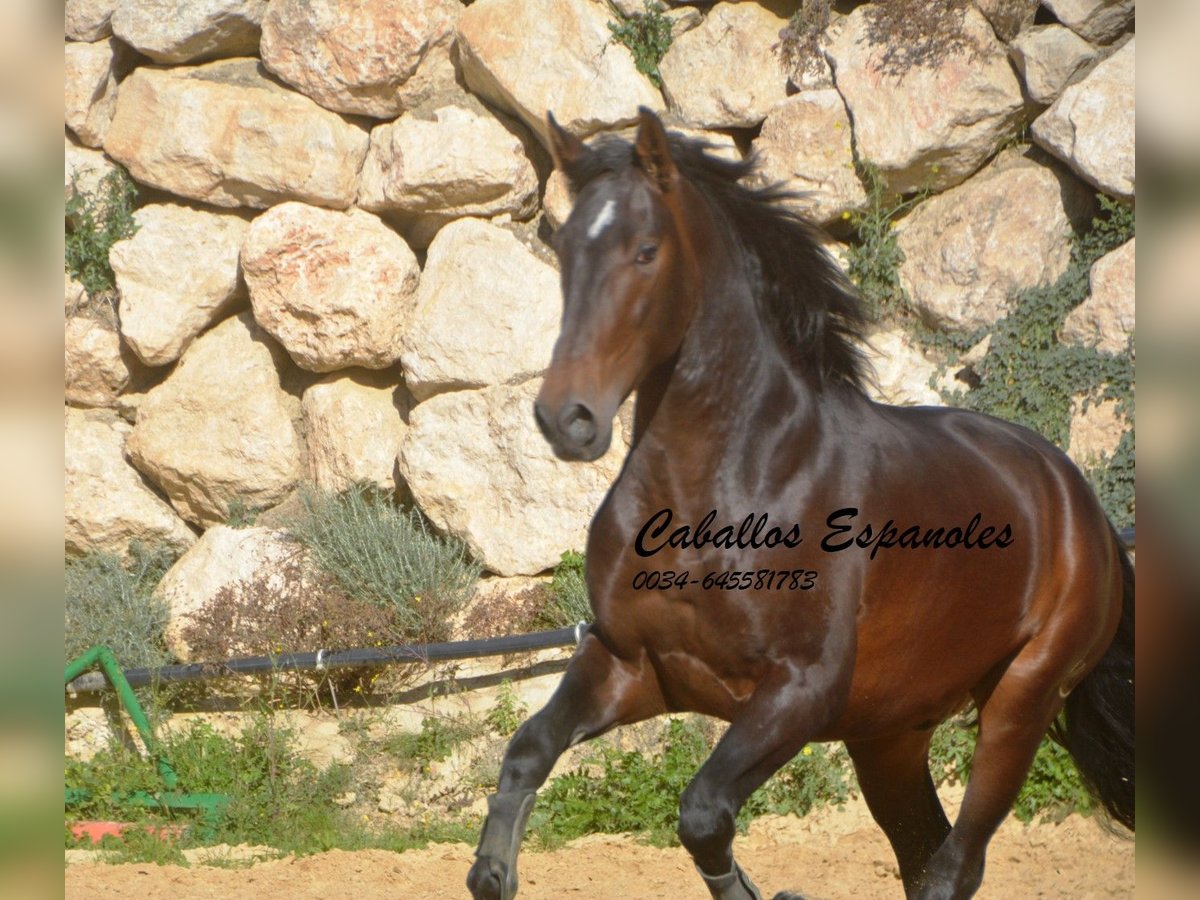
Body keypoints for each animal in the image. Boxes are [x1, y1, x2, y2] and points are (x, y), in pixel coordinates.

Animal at [463, 107, 1128, 900]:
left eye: (646, 251)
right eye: (564, 249)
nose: (567, 419)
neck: (717, 497)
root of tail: (1081, 504)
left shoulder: (798, 693)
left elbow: (702, 813)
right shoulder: (633, 665)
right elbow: (528, 750)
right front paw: (492, 870)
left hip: (1021, 700)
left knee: (952, 866)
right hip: (889, 736)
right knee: (922, 853)